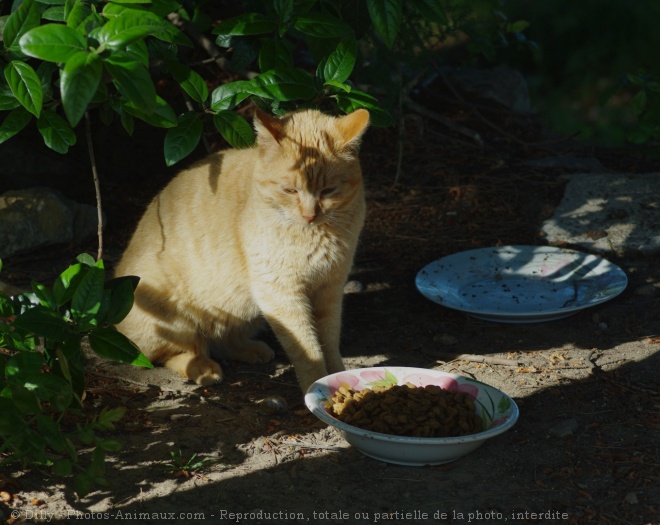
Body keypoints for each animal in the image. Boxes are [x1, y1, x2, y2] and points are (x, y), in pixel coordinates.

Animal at [115, 108, 368, 390]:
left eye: (328, 191)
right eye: (290, 190)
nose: (309, 214)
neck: (316, 232)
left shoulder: (330, 287)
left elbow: (329, 341)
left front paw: (338, 376)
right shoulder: (281, 293)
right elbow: (307, 349)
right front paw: (317, 384)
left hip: (245, 307)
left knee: (221, 340)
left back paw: (251, 349)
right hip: (172, 316)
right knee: (177, 352)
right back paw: (204, 368)